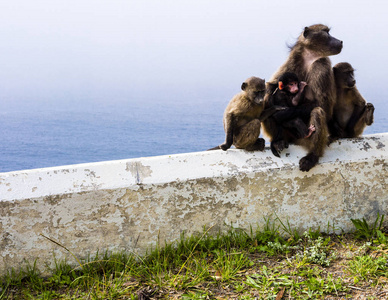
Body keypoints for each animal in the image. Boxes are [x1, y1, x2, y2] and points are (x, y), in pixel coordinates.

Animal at [264, 24, 342, 171]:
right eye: (327, 33)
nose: (340, 41)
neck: (310, 57)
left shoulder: (321, 66)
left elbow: (322, 105)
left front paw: (289, 118)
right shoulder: (293, 61)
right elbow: (271, 87)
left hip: (306, 138)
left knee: (317, 112)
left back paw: (312, 156)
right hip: (288, 135)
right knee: (266, 100)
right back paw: (278, 141)